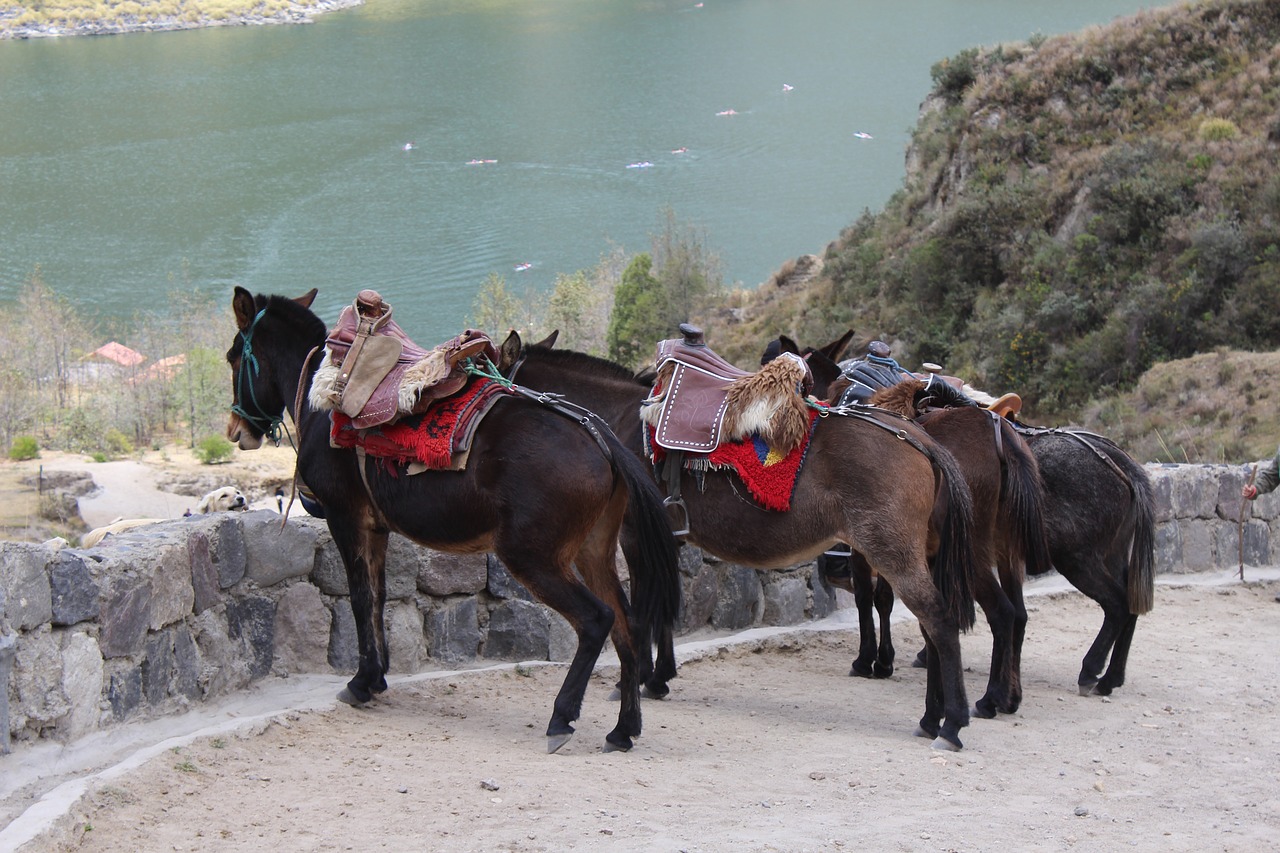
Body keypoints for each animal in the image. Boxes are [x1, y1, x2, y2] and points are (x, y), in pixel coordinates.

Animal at [222, 286, 680, 753]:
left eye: (232, 357)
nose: (236, 429)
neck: (324, 390)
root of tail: (601, 439)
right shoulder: (376, 527)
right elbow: (378, 595)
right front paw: (378, 676)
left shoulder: (344, 517)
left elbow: (360, 596)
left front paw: (362, 682)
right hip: (594, 551)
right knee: (628, 622)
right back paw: (623, 728)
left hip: (534, 557)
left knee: (596, 620)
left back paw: (562, 718)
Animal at [504, 335, 983, 747]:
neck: (622, 420)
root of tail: (919, 439)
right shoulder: (667, 537)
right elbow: (667, 608)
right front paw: (658, 678)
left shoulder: (636, 536)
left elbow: (642, 611)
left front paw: (637, 680)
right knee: (930, 626)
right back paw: (931, 717)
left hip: (893, 552)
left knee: (938, 620)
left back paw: (951, 723)